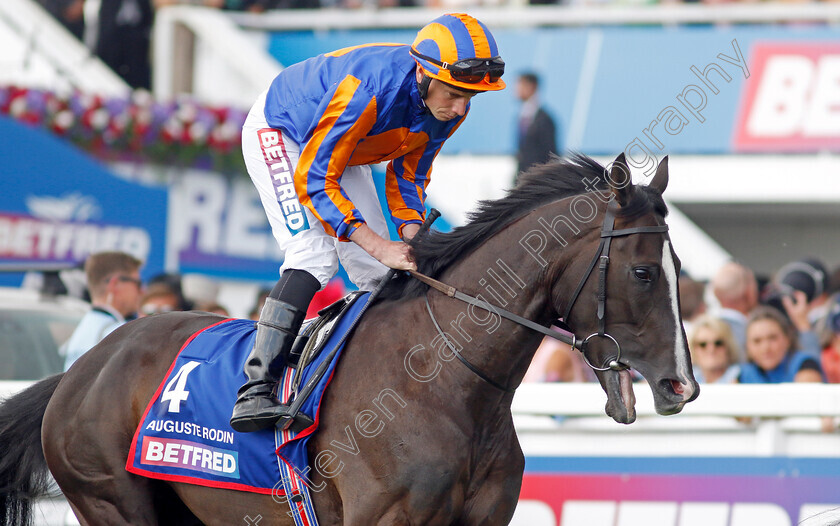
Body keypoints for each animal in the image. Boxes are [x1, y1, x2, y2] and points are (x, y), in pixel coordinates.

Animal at [0, 154, 700, 526]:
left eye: (679, 269)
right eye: (643, 272)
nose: (682, 385)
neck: (442, 381)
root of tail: (79, 371)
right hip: (112, 500)